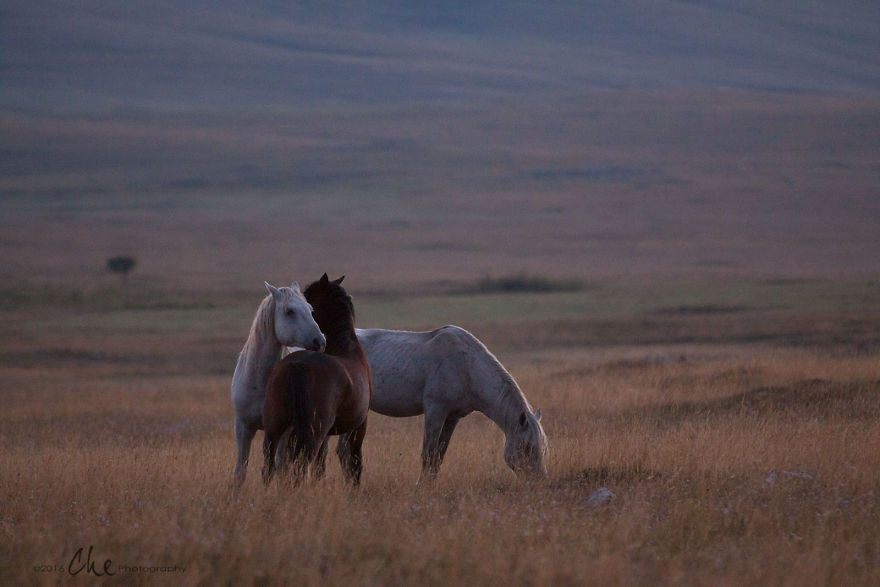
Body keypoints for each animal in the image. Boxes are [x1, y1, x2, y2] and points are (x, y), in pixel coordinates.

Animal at [230, 281, 326, 491]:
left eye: (311, 310)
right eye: (290, 311)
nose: (320, 340)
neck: (260, 383)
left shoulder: (282, 430)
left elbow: (279, 468)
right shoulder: (243, 428)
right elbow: (240, 472)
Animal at [262, 274, 372, 486]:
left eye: (309, 304)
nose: (317, 340)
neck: (347, 347)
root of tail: (298, 365)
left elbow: (321, 467)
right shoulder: (358, 427)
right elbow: (356, 464)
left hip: (274, 428)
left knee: (270, 467)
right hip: (312, 434)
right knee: (300, 466)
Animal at [329, 325, 548, 482]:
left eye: (543, 446)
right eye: (528, 448)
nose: (539, 482)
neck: (467, 368)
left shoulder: (453, 417)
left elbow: (439, 455)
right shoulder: (435, 412)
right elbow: (428, 453)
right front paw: (422, 486)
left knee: (344, 450)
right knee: (345, 451)